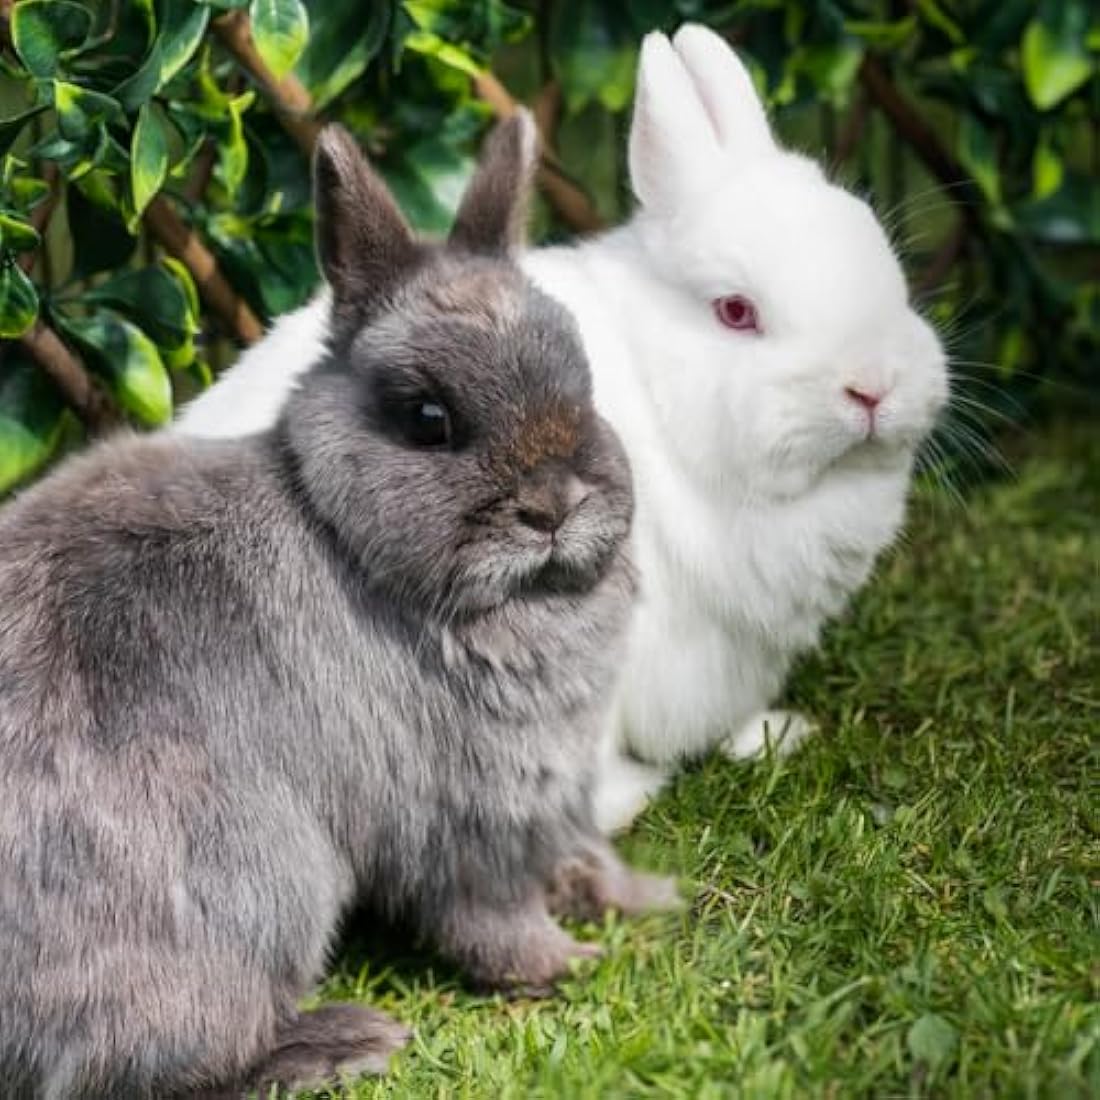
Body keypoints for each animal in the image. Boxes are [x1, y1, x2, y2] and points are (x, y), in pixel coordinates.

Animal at [0, 113, 677, 1100]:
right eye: (429, 419)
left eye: (583, 386)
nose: (553, 506)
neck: (347, 536)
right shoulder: (469, 816)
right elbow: (494, 919)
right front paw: (566, 963)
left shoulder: (548, 797)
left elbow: (581, 854)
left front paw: (641, 898)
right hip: (258, 890)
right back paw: (344, 1039)